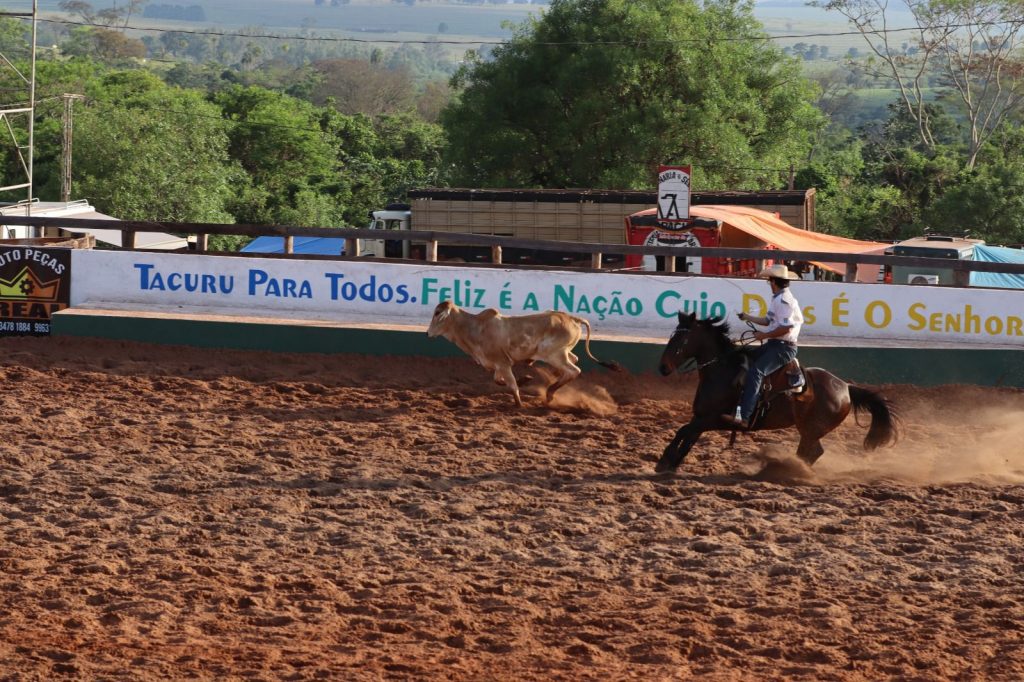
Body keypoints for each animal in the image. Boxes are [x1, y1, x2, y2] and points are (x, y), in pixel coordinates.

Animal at [425, 301, 618, 405]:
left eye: (437, 313)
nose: (427, 333)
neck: (476, 328)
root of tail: (572, 318)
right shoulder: (497, 365)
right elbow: (499, 380)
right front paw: (526, 379)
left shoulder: (503, 363)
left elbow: (512, 385)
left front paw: (519, 404)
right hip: (562, 353)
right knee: (574, 360)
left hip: (554, 354)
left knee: (573, 370)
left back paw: (550, 393)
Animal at [655, 309, 897, 473]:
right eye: (672, 335)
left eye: (682, 338)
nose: (663, 367)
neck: (723, 371)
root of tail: (845, 387)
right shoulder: (701, 417)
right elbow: (687, 437)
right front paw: (669, 463)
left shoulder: (716, 419)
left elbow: (683, 431)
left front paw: (664, 460)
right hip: (809, 429)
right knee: (811, 452)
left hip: (812, 429)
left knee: (811, 451)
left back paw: (784, 471)